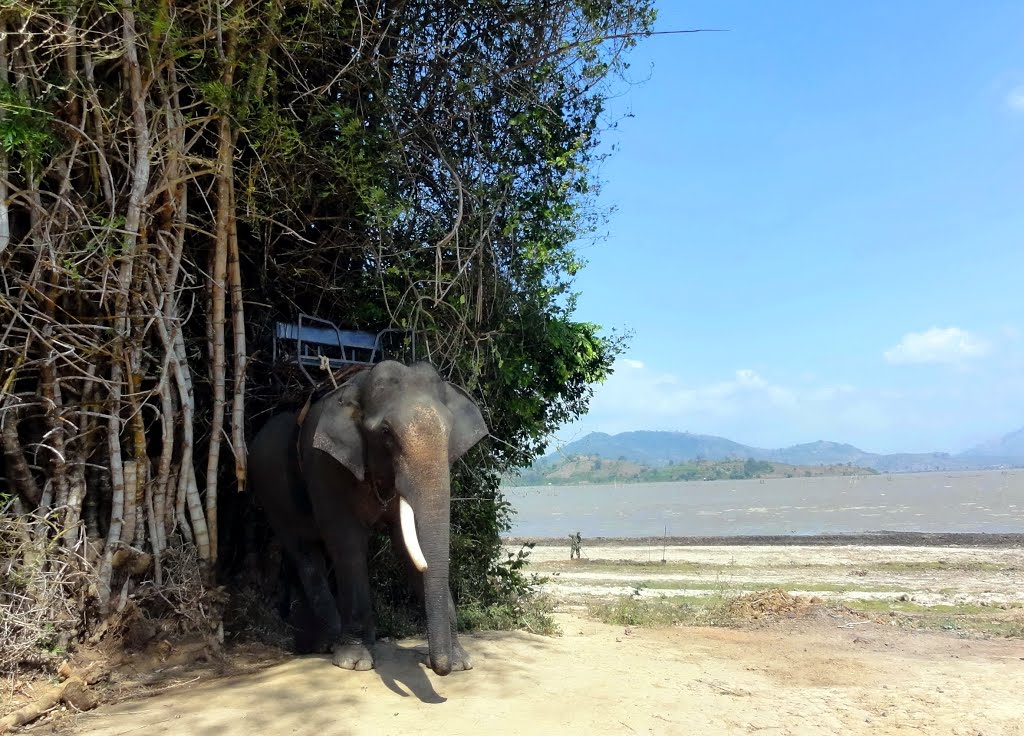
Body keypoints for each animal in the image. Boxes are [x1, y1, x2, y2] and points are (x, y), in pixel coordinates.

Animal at [247, 360, 487, 675]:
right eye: (385, 432)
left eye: (449, 431)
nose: (440, 668)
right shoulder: (324, 465)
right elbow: (348, 543)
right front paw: (354, 661)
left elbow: (407, 546)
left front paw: (460, 663)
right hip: (269, 492)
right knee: (304, 553)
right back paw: (330, 643)